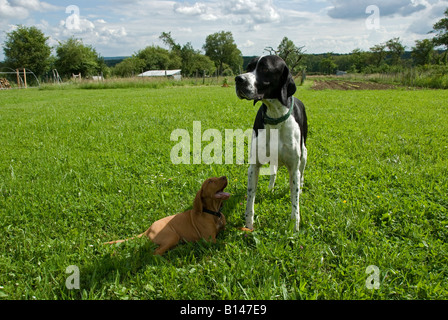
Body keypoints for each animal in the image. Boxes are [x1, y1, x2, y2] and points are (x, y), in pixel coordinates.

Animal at [234, 55, 308, 232]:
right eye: (249, 67)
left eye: (265, 69)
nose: (238, 79)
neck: (275, 116)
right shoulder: (254, 166)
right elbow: (250, 199)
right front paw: (248, 224)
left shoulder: (293, 168)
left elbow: (295, 202)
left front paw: (294, 227)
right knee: (273, 172)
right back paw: (270, 187)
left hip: (304, 155)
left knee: (302, 174)